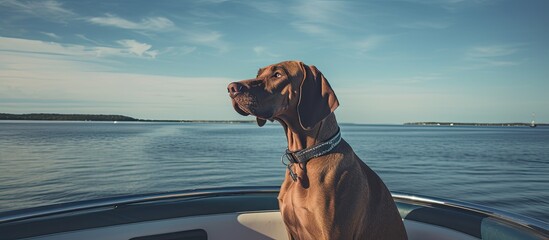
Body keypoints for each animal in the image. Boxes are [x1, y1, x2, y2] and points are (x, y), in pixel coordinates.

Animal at [227, 61, 406, 239]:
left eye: (277, 74)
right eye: (258, 74)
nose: (231, 88)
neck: (307, 156)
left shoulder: (333, 233)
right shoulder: (291, 230)